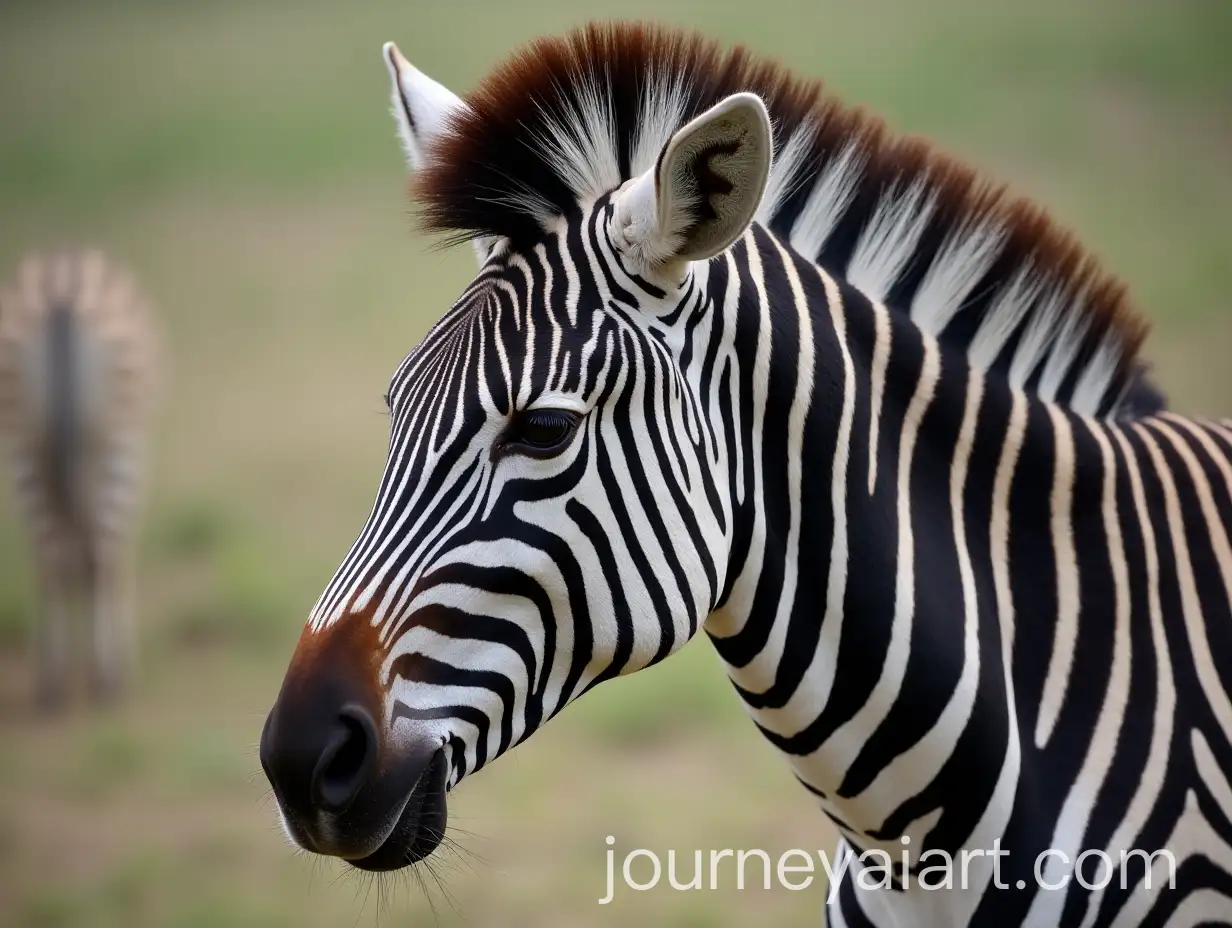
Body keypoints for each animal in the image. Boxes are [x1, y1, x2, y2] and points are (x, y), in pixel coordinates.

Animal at [0, 248, 159, 708]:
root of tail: (62, 292)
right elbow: (115, 559)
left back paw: (53, 682)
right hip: (118, 445)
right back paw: (110, 675)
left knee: (55, 560)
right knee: (102, 555)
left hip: (25, 447)